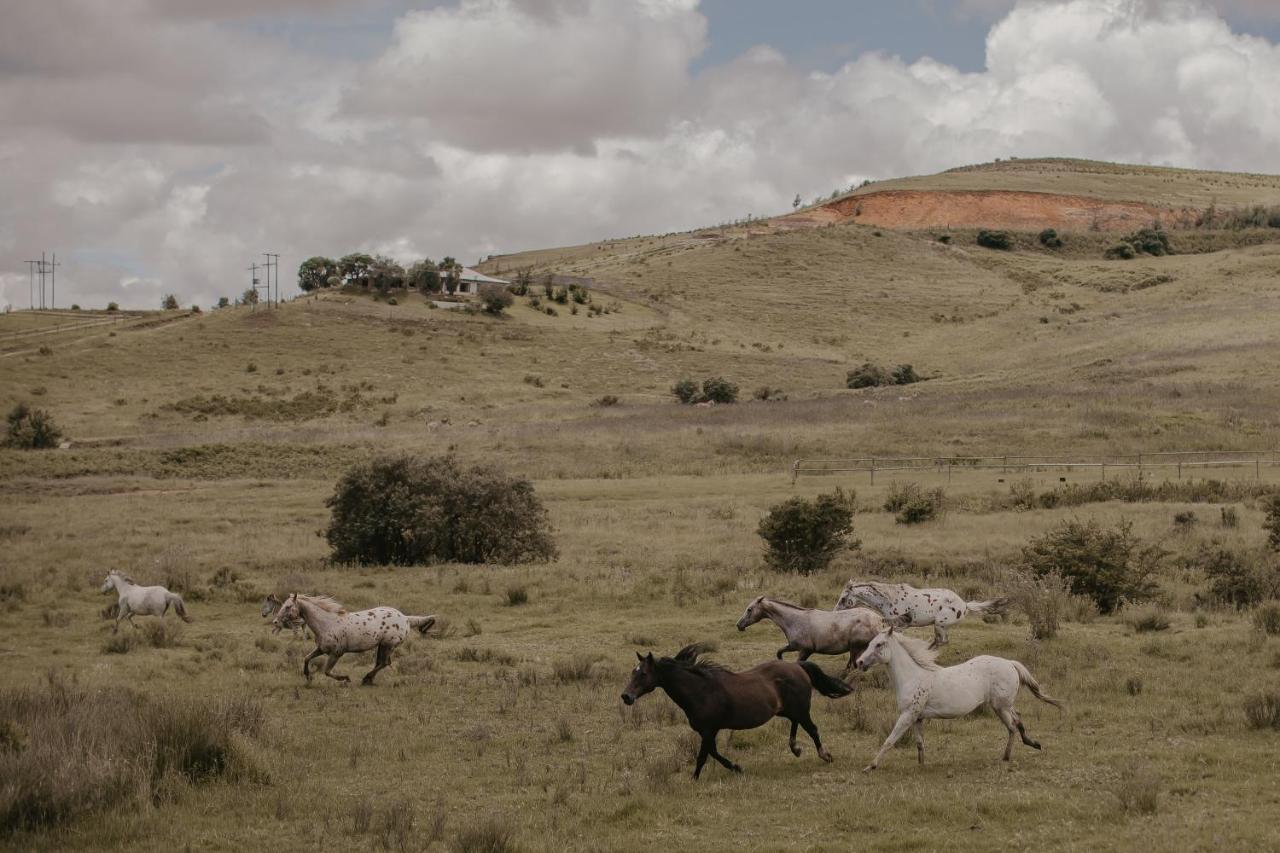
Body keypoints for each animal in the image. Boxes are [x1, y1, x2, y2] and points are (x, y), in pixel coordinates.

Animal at [272, 591, 437, 686]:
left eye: (288, 607)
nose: (275, 622)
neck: (327, 623)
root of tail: (406, 618)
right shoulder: (321, 649)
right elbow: (306, 658)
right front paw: (308, 677)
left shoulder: (336, 653)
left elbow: (327, 671)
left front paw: (346, 678)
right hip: (382, 646)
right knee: (381, 663)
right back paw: (369, 680)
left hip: (388, 645)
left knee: (384, 663)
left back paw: (366, 679)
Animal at [622, 640, 855, 773]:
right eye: (633, 672)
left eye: (643, 674)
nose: (626, 696)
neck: (701, 690)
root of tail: (797, 666)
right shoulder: (707, 731)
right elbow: (712, 753)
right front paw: (736, 768)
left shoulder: (709, 729)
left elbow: (703, 756)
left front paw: (696, 778)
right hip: (787, 710)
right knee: (796, 723)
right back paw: (795, 748)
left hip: (800, 708)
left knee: (812, 729)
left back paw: (824, 755)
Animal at [742, 594, 890, 676]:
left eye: (749, 609)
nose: (739, 625)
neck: (794, 620)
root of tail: (879, 619)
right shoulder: (794, 646)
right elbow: (780, 652)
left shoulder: (805, 650)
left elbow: (797, 663)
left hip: (856, 648)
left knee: (852, 666)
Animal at [834, 578, 1003, 645]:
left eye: (843, 598)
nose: (835, 611)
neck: (888, 599)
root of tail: (965, 605)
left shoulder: (900, 624)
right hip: (941, 626)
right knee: (941, 641)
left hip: (940, 624)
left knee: (942, 641)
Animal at [855, 622, 1064, 768]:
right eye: (870, 643)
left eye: (879, 644)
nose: (859, 662)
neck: (913, 677)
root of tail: (1010, 663)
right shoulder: (917, 718)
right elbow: (920, 744)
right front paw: (921, 765)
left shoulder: (907, 715)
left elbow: (890, 740)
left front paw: (870, 766)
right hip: (1002, 706)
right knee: (1015, 723)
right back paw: (1024, 747)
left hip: (1001, 706)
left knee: (1013, 725)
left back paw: (1014, 752)